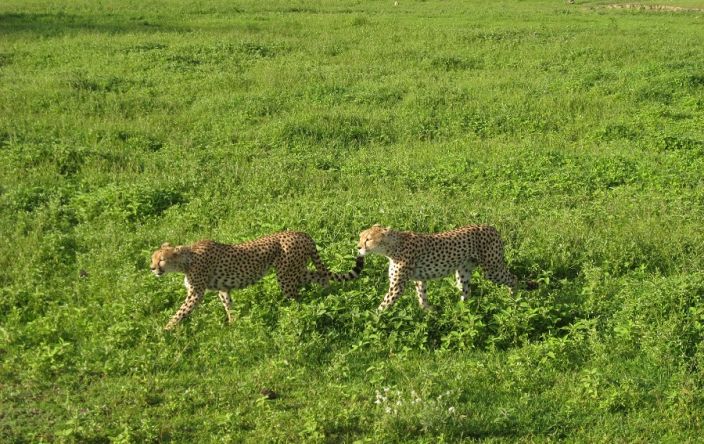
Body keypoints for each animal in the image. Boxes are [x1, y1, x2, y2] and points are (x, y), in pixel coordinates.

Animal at [151, 232, 366, 330]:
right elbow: (228, 305)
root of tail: (301, 233)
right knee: (319, 275)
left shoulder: (196, 293)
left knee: (296, 299)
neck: (186, 260)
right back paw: (327, 294)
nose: (152, 268)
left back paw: (295, 317)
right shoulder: (222, 288)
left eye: (161, 259)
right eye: (152, 258)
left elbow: (180, 312)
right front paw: (233, 324)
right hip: (295, 271)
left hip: (286, 276)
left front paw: (165, 330)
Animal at [358, 224, 516, 310]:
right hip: (462, 273)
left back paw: (514, 297)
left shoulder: (397, 287)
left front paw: (372, 321)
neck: (392, 247)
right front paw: (428, 312)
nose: (358, 247)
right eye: (360, 237)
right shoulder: (419, 279)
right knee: (466, 292)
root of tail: (490, 227)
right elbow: (422, 295)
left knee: (513, 278)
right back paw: (461, 310)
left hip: (492, 269)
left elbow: (384, 305)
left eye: (368, 239)